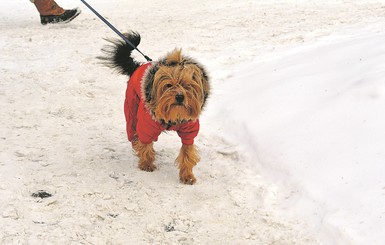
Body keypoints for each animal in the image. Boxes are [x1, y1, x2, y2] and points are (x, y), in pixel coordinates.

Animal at [99, 32, 210, 184]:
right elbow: (145, 144)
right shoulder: (146, 125)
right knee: (133, 130)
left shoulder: (189, 129)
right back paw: (136, 143)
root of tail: (136, 67)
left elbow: (187, 152)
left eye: (187, 85)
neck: (173, 116)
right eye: (169, 85)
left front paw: (187, 175)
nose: (180, 97)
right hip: (131, 106)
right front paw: (146, 164)